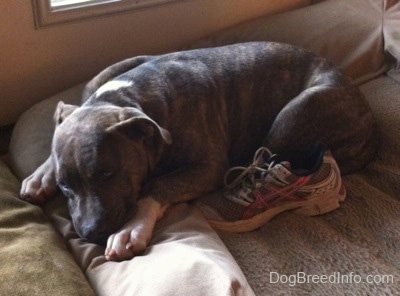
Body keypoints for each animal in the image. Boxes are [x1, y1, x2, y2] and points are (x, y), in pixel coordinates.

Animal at [19, 42, 378, 262]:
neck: (129, 98)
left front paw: (131, 228)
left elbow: (157, 185)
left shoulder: (207, 167)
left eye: (108, 173)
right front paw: (41, 175)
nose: (90, 232)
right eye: (65, 186)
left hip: (295, 112)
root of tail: (367, 119)